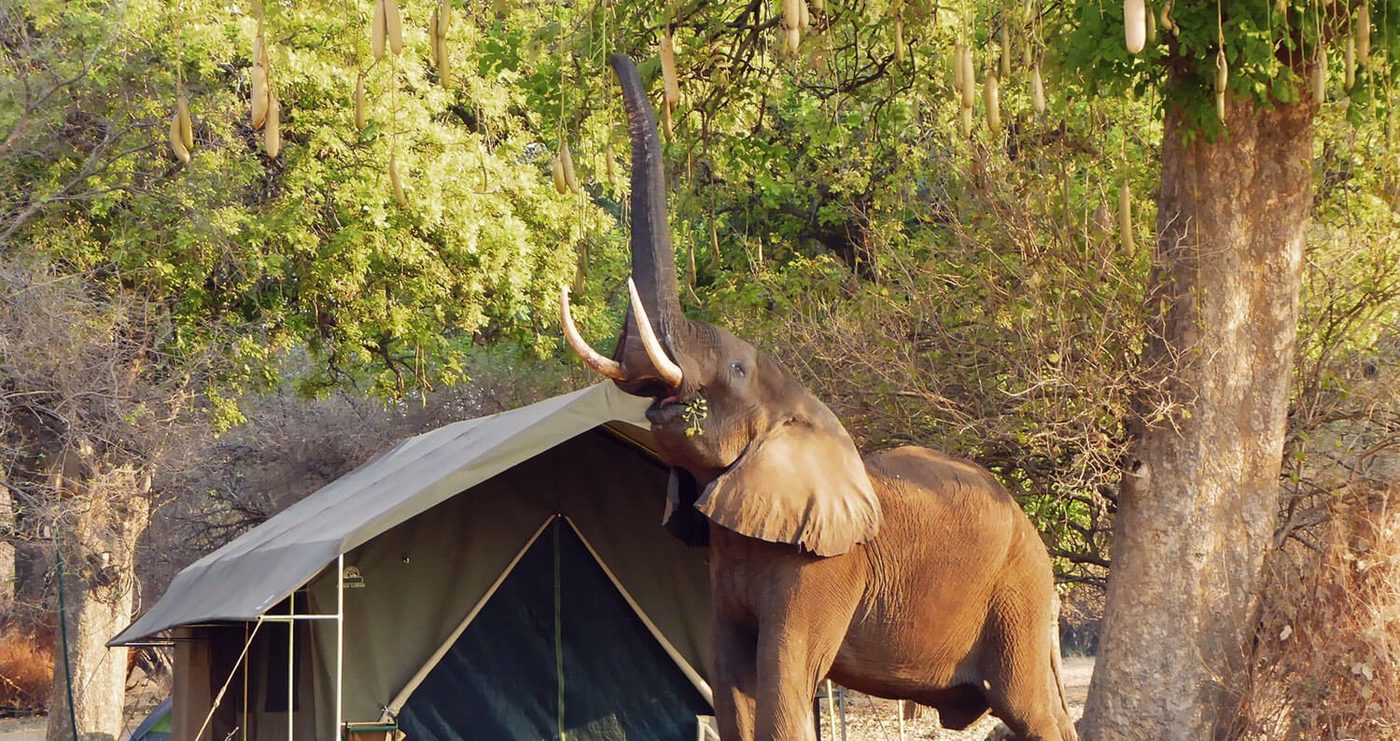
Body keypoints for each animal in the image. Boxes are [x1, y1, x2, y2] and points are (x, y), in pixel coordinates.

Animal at [559, 53, 1078, 741]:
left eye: (736, 368)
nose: (617, 54)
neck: (803, 412)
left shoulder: (824, 566)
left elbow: (782, 681)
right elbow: (730, 680)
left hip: (1018, 595)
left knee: (1031, 707)